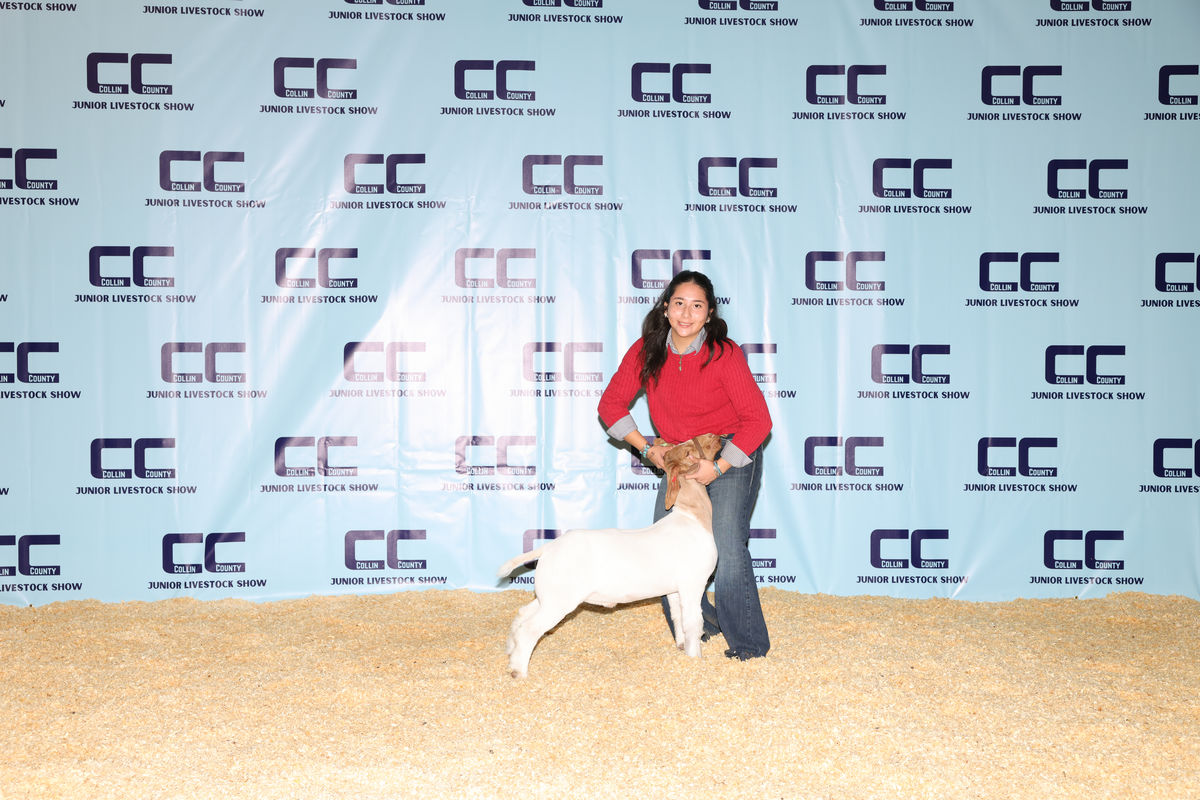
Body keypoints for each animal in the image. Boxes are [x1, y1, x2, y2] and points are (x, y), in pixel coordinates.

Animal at [496, 433, 723, 678]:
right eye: (689, 450)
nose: (714, 435)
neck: (693, 517)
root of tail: (549, 548)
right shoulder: (693, 583)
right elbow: (693, 623)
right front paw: (695, 659)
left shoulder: (674, 589)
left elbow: (677, 617)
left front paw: (682, 648)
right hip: (559, 600)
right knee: (530, 628)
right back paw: (519, 671)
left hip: (548, 595)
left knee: (522, 614)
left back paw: (510, 653)